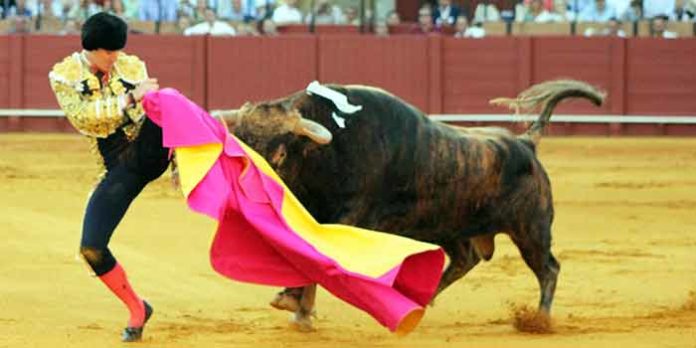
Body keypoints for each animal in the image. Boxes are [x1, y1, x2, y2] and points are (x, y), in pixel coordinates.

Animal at [215, 80, 608, 330]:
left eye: (280, 153)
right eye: (238, 142)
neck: (331, 149)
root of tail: (526, 142)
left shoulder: (349, 218)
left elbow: (318, 258)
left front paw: (296, 308)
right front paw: (297, 307)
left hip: (531, 230)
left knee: (548, 268)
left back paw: (539, 320)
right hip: (449, 226)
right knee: (464, 259)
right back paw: (419, 304)